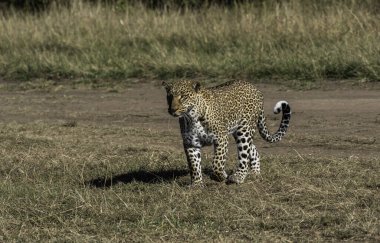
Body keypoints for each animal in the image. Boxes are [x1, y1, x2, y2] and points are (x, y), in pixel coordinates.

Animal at [161, 79, 290, 186]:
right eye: (169, 97)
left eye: (183, 97)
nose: (172, 110)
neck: (192, 117)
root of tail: (254, 88)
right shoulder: (191, 143)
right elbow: (194, 165)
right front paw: (197, 184)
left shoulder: (221, 138)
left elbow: (217, 163)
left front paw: (221, 176)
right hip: (240, 132)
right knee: (253, 150)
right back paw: (255, 173)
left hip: (244, 131)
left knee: (244, 156)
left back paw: (238, 177)